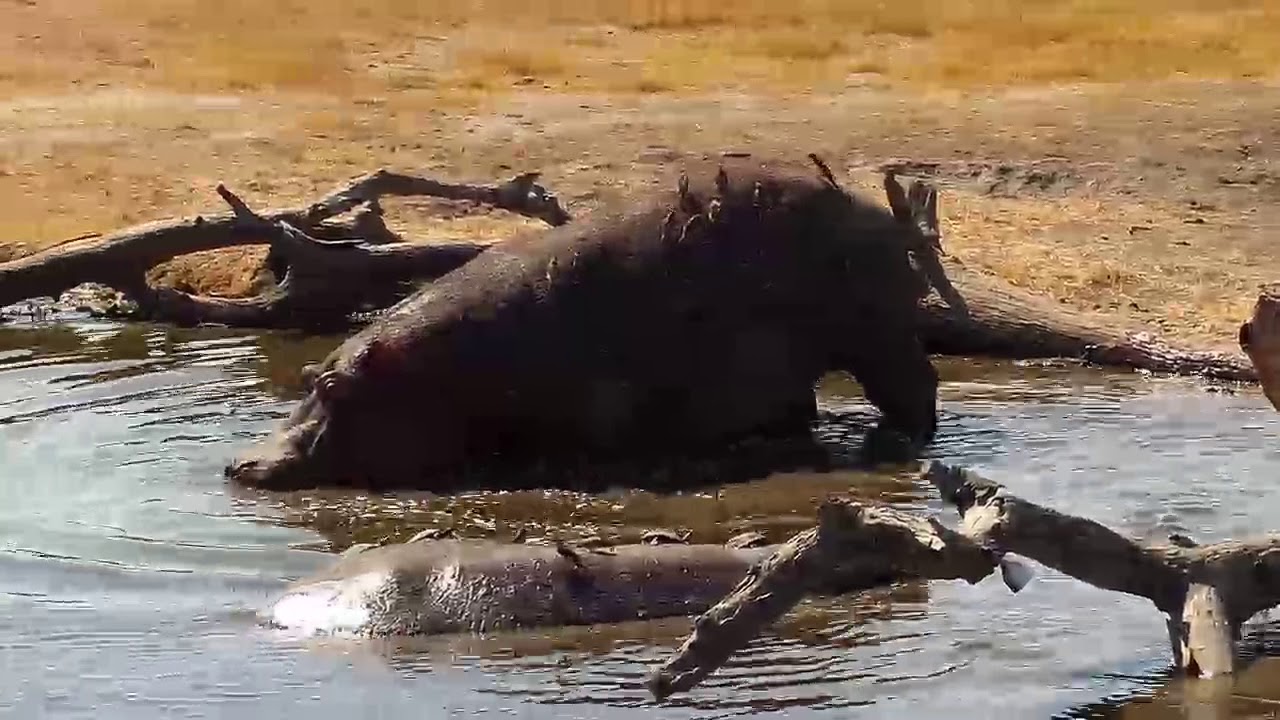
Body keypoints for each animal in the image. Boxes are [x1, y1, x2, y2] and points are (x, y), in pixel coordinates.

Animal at [227, 153, 942, 490]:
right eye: (310, 376)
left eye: (329, 387)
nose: (239, 463)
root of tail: (890, 222)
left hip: (879, 341)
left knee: (917, 389)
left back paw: (890, 441)